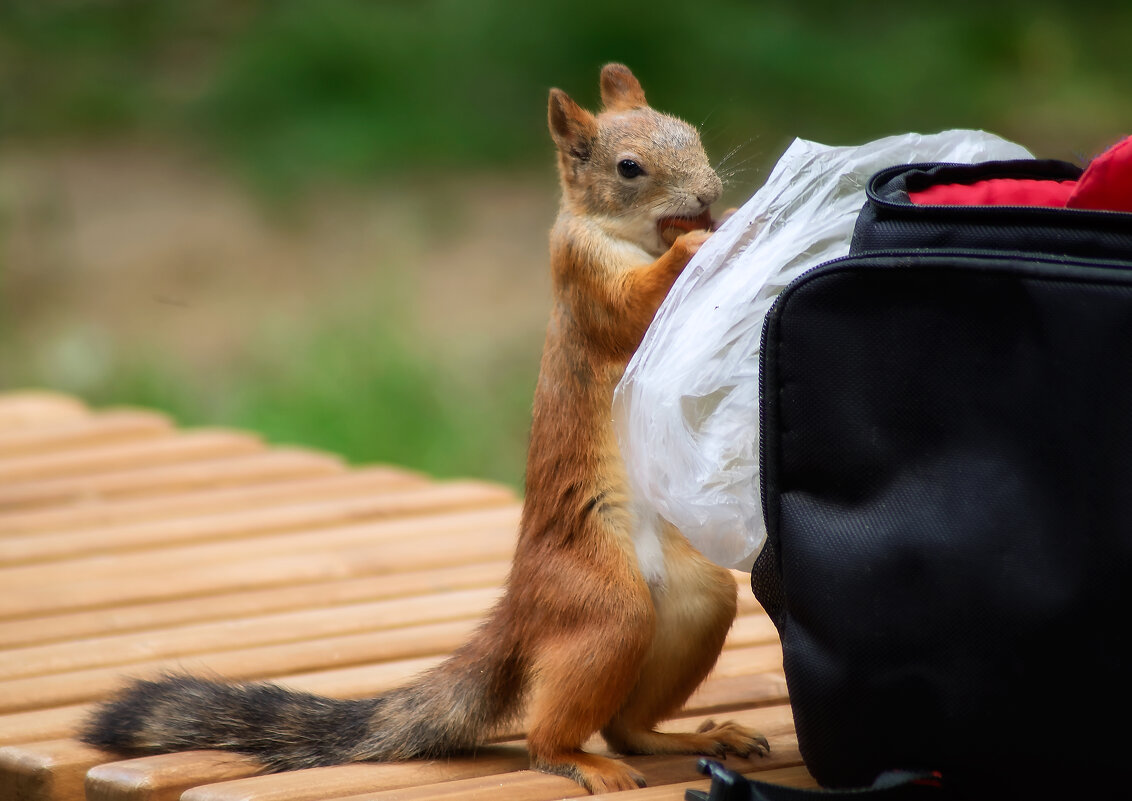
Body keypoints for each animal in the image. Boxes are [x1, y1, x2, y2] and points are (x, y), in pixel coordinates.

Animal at [82, 62, 769, 796]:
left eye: (691, 132)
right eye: (629, 167)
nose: (710, 193)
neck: (629, 235)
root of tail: (522, 607)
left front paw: (732, 224)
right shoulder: (583, 278)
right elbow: (631, 304)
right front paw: (700, 242)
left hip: (695, 604)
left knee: (629, 723)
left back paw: (694, 734)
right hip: (607, 604)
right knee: (555, 731)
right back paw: (578, 758)